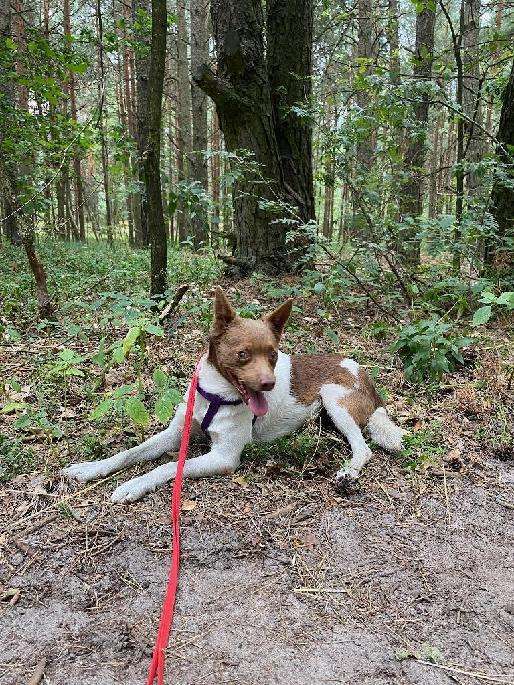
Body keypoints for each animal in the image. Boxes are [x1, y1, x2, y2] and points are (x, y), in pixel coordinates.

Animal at [63, 287, 406, 502]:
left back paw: (348, 472)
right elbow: (130, 453)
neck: (215, 396)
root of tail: (363, 372)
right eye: (243, 355)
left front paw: (134, 485)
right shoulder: (176, 433)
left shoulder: (224, 457)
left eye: (273, 355)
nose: (269, 384)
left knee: (363, 448)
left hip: (335, 399)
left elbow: (168, 467)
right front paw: (89, 468)